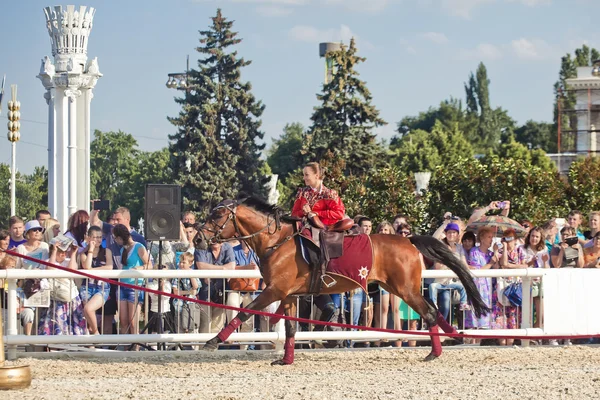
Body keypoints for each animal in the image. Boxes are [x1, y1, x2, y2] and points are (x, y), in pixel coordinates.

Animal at [195, 198, 490, 366]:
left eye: (217, 216)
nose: (198, 239)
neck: (277, 241)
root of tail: (408, 240)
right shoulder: (287, 295)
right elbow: (289, 329)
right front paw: (286, 360)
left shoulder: (275, 290)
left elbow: (245, 312)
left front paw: (213, 341)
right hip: (397, 289)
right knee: (434, 310)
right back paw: (451, 337)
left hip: (405, 290)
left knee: (429, 313)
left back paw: (435, 352)